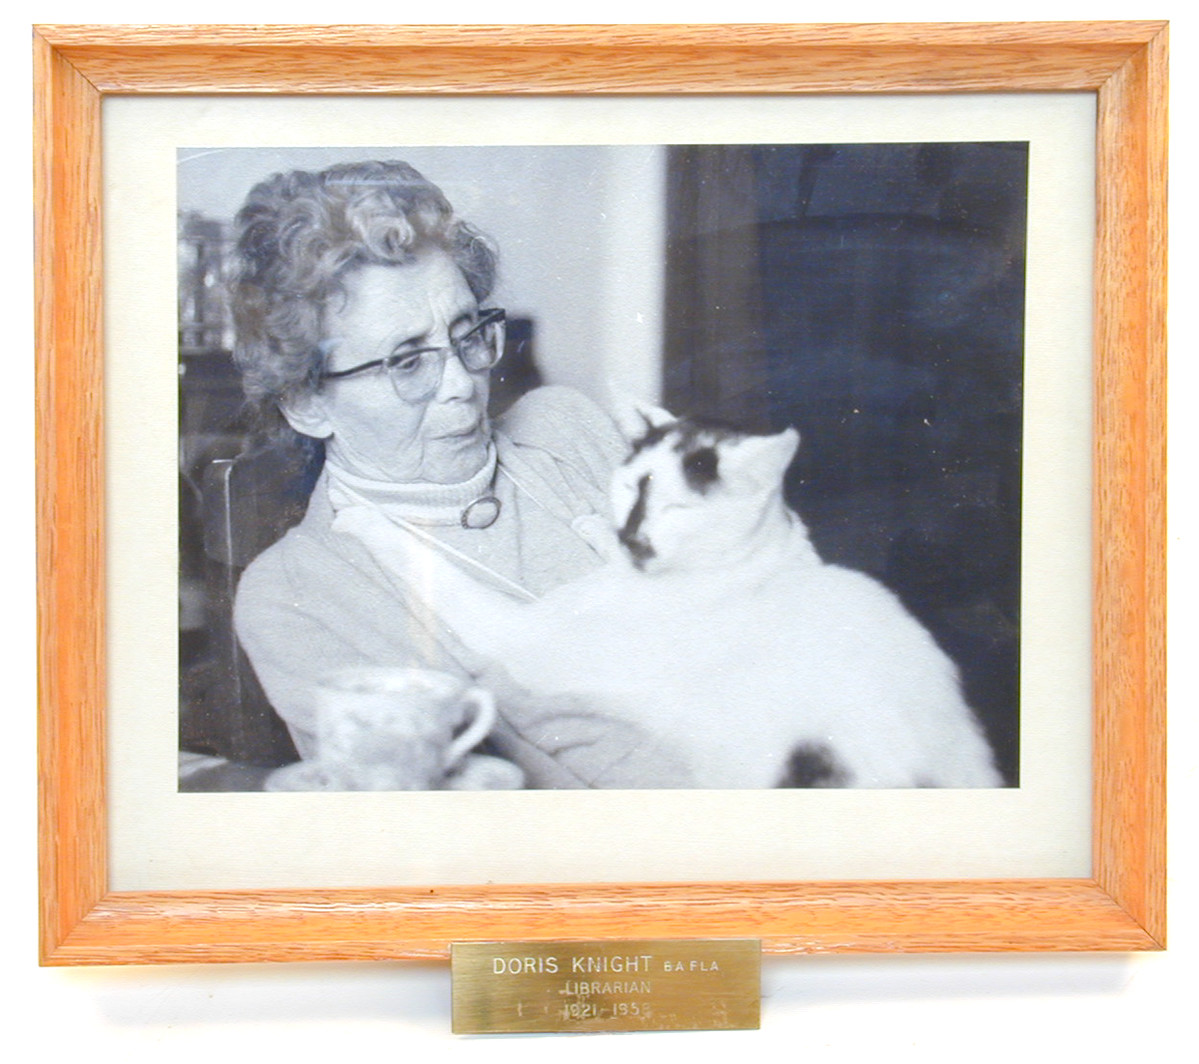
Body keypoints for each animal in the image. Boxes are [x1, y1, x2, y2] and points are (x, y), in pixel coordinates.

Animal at [333, 410, 1007, 791]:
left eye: (678, 509)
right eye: (631, 487)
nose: (634, 537)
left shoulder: (524, 636)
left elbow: (436, 570)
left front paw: (360, 518)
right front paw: (596, 528)